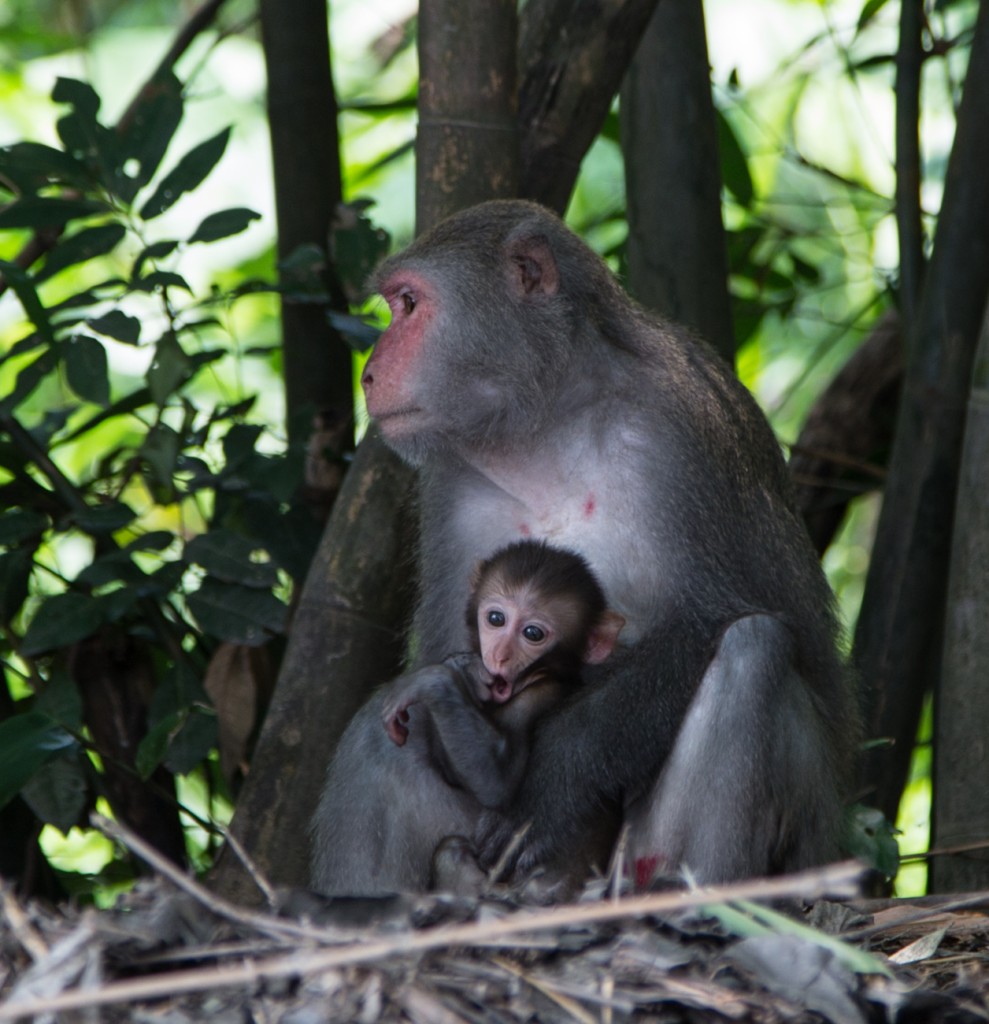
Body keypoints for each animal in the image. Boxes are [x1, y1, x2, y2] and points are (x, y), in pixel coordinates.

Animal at [310, 540, 624, 895]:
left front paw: (435, 681)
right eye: (496, 619)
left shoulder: (539, 694)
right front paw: (462, 668)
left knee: (452, 852)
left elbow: (496, 780)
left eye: (533, 633)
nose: (499, 655)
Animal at [359, 199, 858, 886]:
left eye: (408, 303)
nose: (367, 374)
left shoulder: (679, 432)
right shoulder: (450, 480)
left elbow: (704, 620)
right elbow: (445, 658)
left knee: (753, 650)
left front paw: (550, 791)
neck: (548, 421)